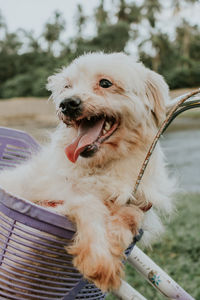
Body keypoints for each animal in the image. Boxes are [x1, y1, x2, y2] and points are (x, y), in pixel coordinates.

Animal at [0, 52, 173, 292]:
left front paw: (116, 236)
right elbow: (88, 202)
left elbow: (131, 214)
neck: (101, 167)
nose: (66, 104)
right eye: (67, 86)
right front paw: (99, 259)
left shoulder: (139, 199)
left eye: (105, 83)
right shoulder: (49, 198)